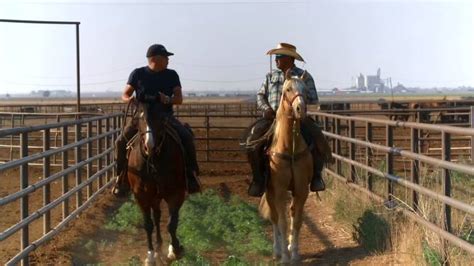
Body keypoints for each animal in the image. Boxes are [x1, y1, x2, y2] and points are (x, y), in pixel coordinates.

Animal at [127, 101, 188, 264]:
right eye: (139, 117)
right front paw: (150, 255)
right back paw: (157, 248)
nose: (150, 146)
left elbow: (171, 224)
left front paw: (175, 249)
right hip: (153, 197)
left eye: (160, 118)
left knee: (160, 217)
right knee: (156, 217)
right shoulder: (141, 196)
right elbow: (148, 225)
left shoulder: (176, 193)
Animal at [260, 71, 314, 264]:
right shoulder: (280, 190)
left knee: (289, 213)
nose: (300, 109)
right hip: (269, 192)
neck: (289, 147)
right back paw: (277, 250)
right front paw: (284, 256)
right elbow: (282, 222)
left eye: (305, 90)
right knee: (275, 218)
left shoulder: (301, 189)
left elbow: (296, 220)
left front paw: (295, 253)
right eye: (288, 89)